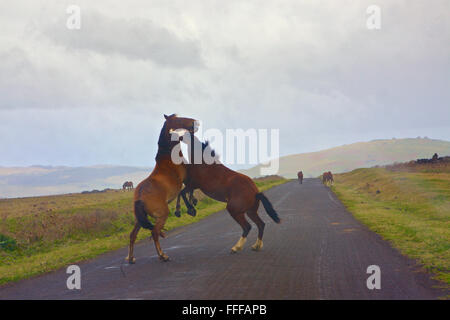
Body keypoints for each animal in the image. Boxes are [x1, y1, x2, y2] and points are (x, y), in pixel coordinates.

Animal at [125, 114, 198, 264]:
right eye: (179, 120)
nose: (194, 122)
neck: (168, 156)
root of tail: (139, 197)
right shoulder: (184, 179)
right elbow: (186, 190)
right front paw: (191, 206)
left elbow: (183, 192)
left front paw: (187, 207)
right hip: (162, 215)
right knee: (154, 232)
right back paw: (162, 256)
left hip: (139, 220)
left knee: (132, 235)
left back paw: (131, 258)